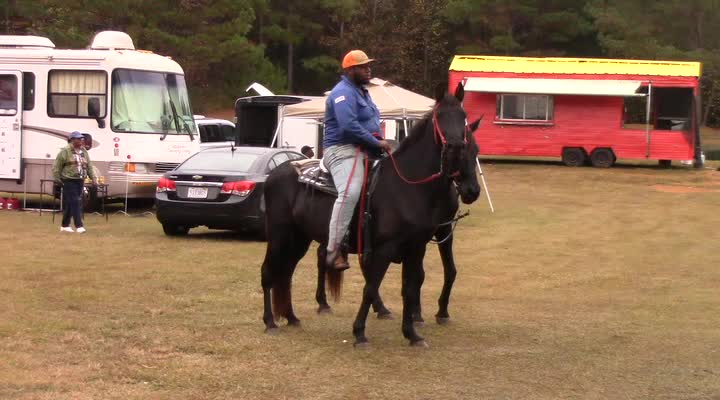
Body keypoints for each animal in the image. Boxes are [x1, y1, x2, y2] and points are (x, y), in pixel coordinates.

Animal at [262, 84, 480, 346]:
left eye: (463, 116)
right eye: (440, 116)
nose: (456, 146)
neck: (408, 185)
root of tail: (276, 173)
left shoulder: (417, 247)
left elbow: (411, 287)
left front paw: (412, 333)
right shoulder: (384, 248)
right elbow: (371, 286)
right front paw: (359, 333)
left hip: (299, 239)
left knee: (286, 274)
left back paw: (291, 317)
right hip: (279, 236)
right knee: (269, 272)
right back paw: (270, 322)